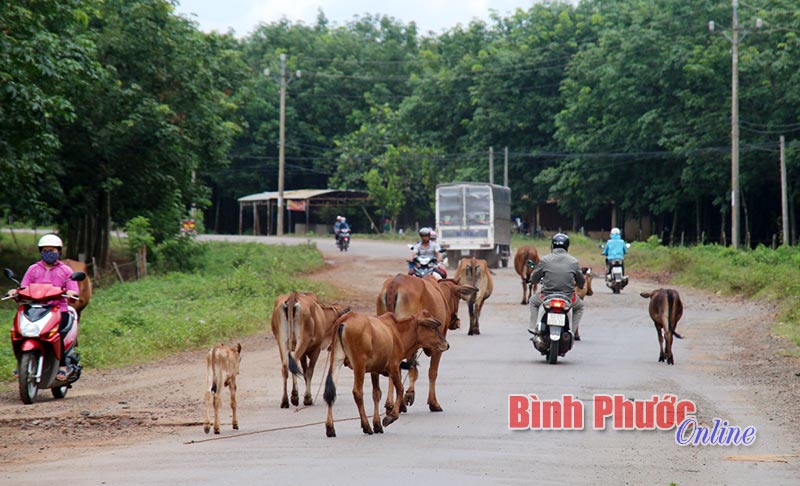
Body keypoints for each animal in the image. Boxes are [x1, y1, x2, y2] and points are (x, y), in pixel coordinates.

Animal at [376, 274, 476, 412]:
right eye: (458, 297)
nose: (457, 322)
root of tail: (395, 284)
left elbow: (413, 370)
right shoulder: (438, 345)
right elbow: (431, 372)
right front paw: (432, 403)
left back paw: (391, 404)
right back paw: (399, 404)